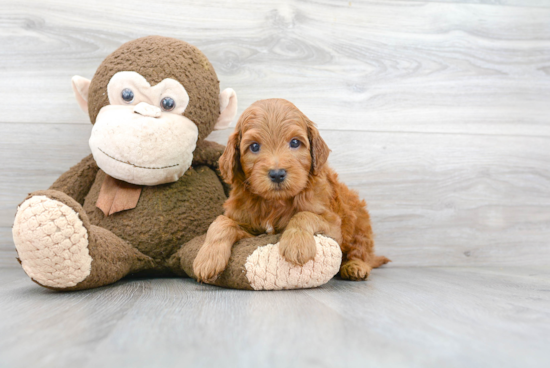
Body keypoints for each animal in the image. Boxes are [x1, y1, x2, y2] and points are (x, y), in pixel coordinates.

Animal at [194, 98, 392, 282]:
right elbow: (221, 222)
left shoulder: (333, 224)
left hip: (358, 222)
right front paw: (207, 258)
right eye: (254, 146)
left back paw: (356, 266)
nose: (277, 174)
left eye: (295, 143)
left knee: (361, 251)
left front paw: (297, 244)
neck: (275, 202)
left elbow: (304, 214)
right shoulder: (249, 227)